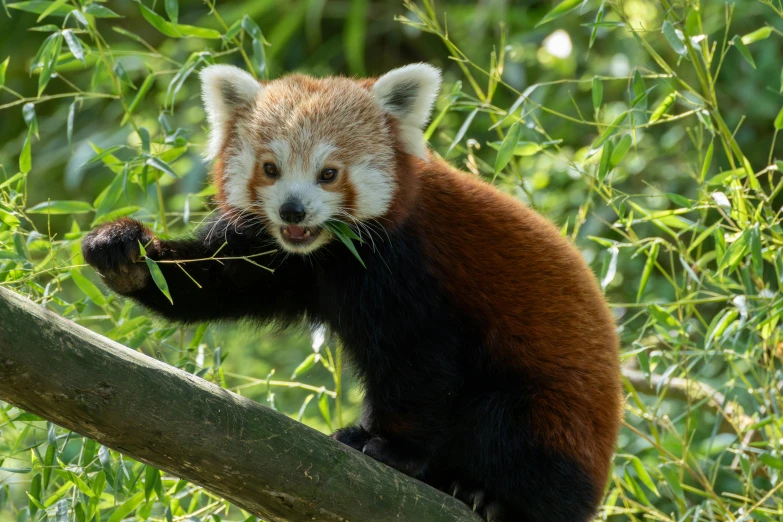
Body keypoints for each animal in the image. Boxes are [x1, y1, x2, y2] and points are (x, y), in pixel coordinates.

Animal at [84, 63, 624, 516]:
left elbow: (420, 364)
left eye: (329, 173)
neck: (330, 252)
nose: (294, 210)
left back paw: (485, 494)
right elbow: (216, 282)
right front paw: (126, 252)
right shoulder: (282, 258)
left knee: (503, 428)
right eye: (270, 169)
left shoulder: (409, 268)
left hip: (556, 419)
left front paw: (392, 448)